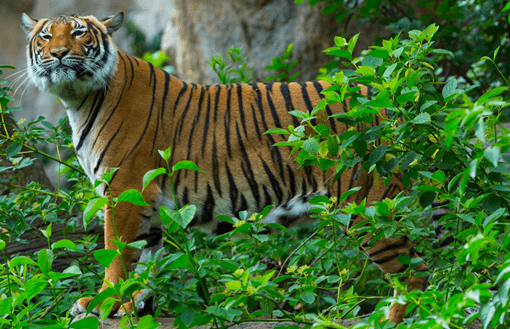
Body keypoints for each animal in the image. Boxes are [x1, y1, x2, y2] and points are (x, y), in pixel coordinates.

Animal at [19, 11, 428, 322]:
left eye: (78, 33)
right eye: (45, 36)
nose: (58, 54)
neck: (77, 99)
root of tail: (381, 96)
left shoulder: (125, 190)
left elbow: (117, 252)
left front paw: (104, 302)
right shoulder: (148, 203)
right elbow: (147, 259)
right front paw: (136, 305)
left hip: (370, 205)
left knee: (415, 276)